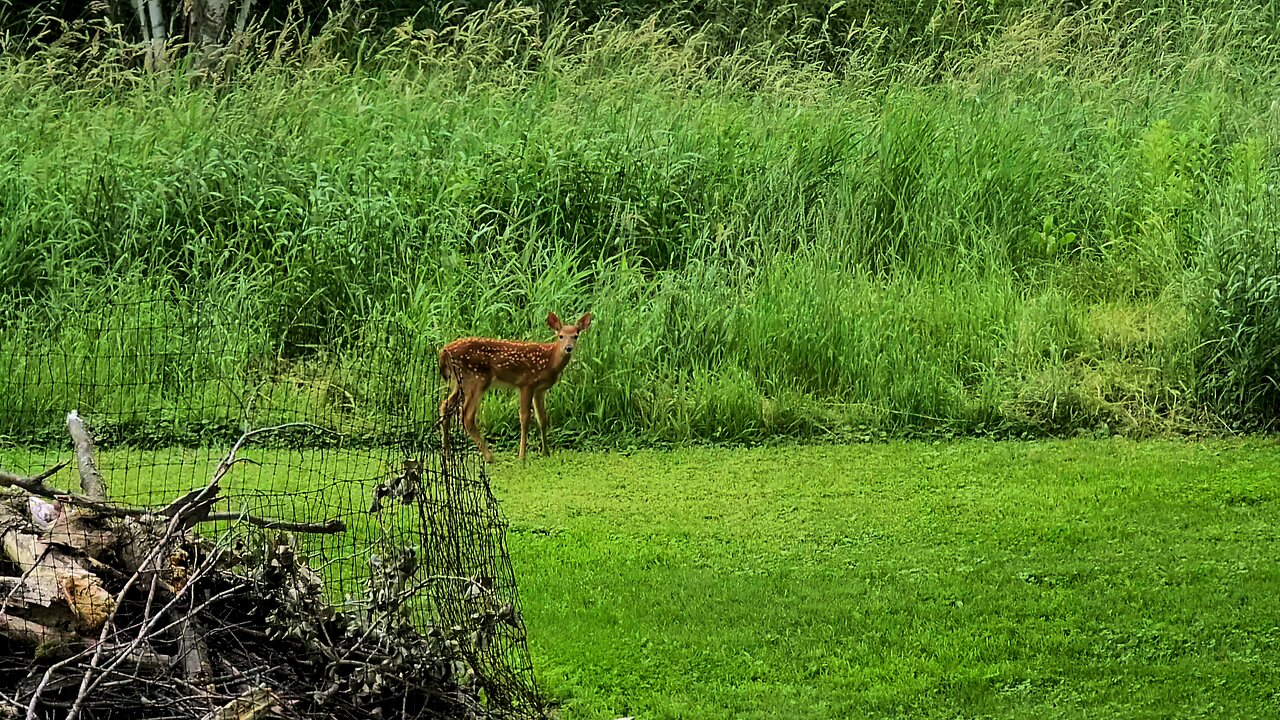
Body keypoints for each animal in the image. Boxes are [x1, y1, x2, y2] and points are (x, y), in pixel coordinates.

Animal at [438, 311, 592, 463]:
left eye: (575, 336)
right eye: (560, 336)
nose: (568, 348)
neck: (550, 361)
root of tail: (444, 352)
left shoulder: (540, 389)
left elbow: (542, 419)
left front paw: (546, 453)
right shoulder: (526, 383)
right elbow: (525, 418)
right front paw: (522, 456)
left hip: (460, 383)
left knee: (445, 405)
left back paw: (447, 453)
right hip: (477, 379)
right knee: (467, 416)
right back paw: (489, 457)